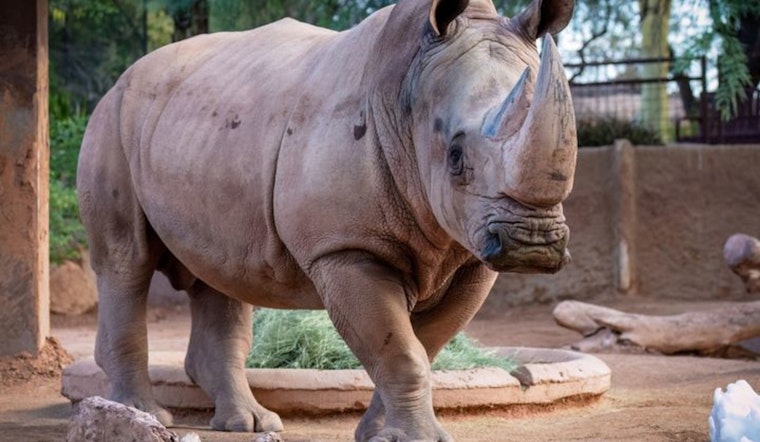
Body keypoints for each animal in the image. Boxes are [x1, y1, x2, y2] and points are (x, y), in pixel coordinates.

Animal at [76, 0, 577, 440]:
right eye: (455, 157)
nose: (533, 243)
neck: (407, 93)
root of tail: (124, 76)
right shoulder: (345, 247)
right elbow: (403, 352)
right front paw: (415, 438)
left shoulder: (469, 255)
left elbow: (422, 347)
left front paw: (379, 433)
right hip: (111, 120)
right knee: (126, 261)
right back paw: (144, 414)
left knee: (220, 274)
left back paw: (250, 423)